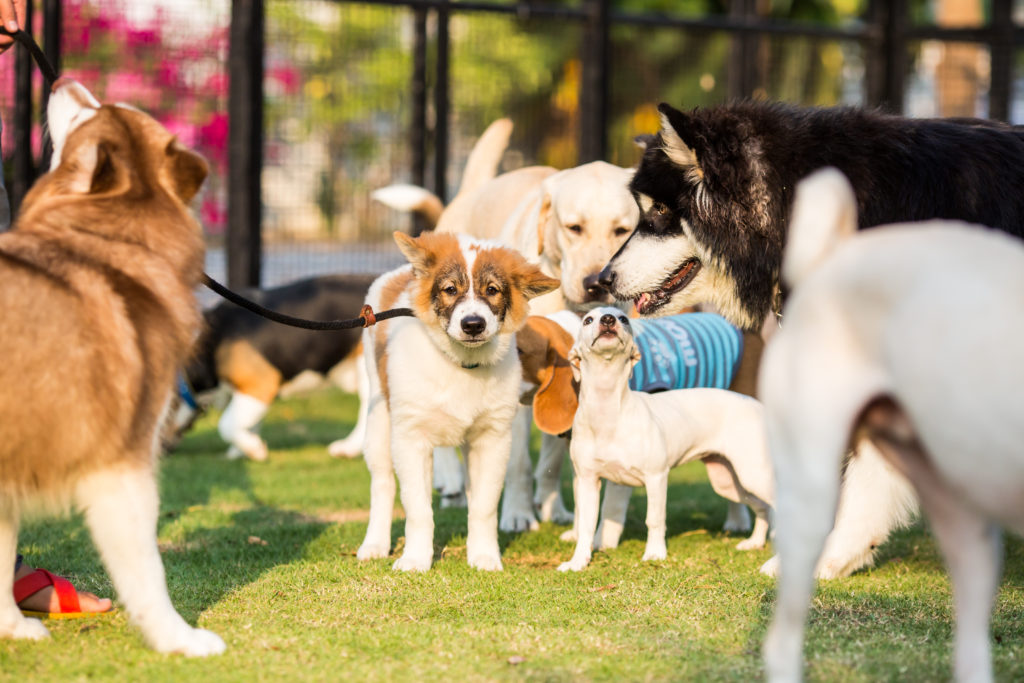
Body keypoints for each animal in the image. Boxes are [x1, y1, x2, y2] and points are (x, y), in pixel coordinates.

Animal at [0, 78, 224, 655]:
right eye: (89, 113)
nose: (63, 80)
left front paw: (12, 628)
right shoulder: (122, 464)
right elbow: (148, 572)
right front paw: (179, 639)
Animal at [356, 229, 557, 573]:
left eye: (492, 290)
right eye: (450, 289)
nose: (473, 324)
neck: (461, 364)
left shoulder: (492, 440)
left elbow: (484, 507)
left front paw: (484, 556)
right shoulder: (411, 440)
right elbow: (418, 509)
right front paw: (415, 560)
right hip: (380, 421)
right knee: (382, 484)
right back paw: (375, 544)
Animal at [557, 309, 770, 573]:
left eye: (624, 319)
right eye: (588, 320)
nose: (608, 319)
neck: (609, 412)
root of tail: (756, 405)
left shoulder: (656, 477)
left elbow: (655, 519)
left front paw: (655, 554)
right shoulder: (588, 481)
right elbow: (586, 525)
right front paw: (578, 562)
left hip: (753, 475)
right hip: (729, 483)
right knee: (763, 507)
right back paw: (755, 543)